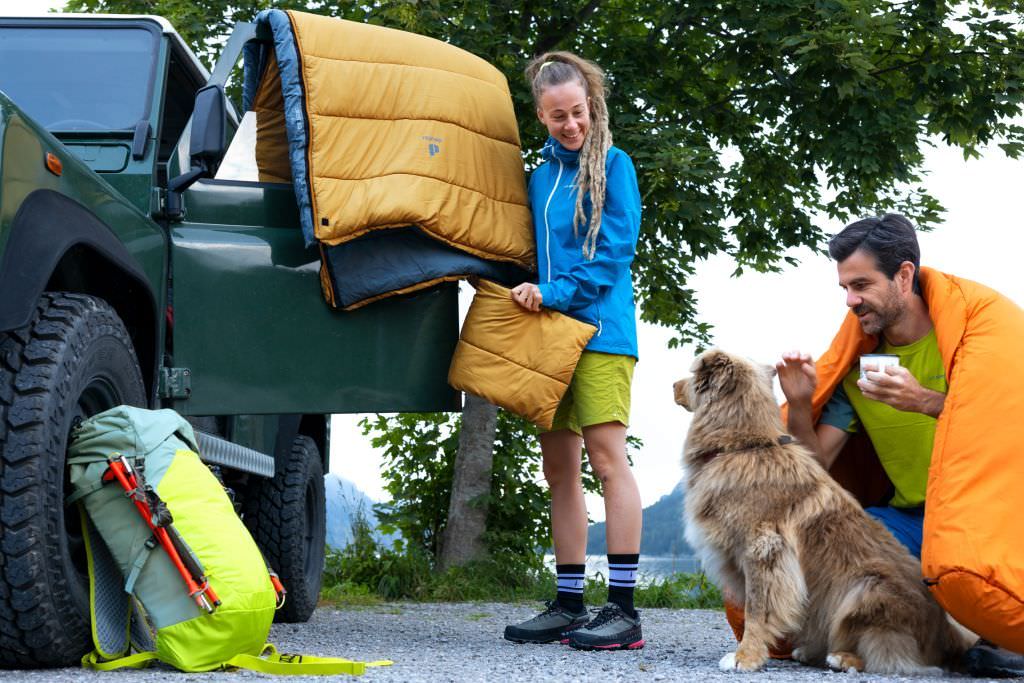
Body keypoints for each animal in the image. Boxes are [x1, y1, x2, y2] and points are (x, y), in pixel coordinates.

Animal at [671, 350, 974, 675]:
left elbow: (756, 609)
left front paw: (745, 657)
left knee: (891, 655)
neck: (745, 446)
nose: (673, 385)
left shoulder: (764, 551)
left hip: (866, 590)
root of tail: (946, 635)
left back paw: (843, 658)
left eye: (693, 376)